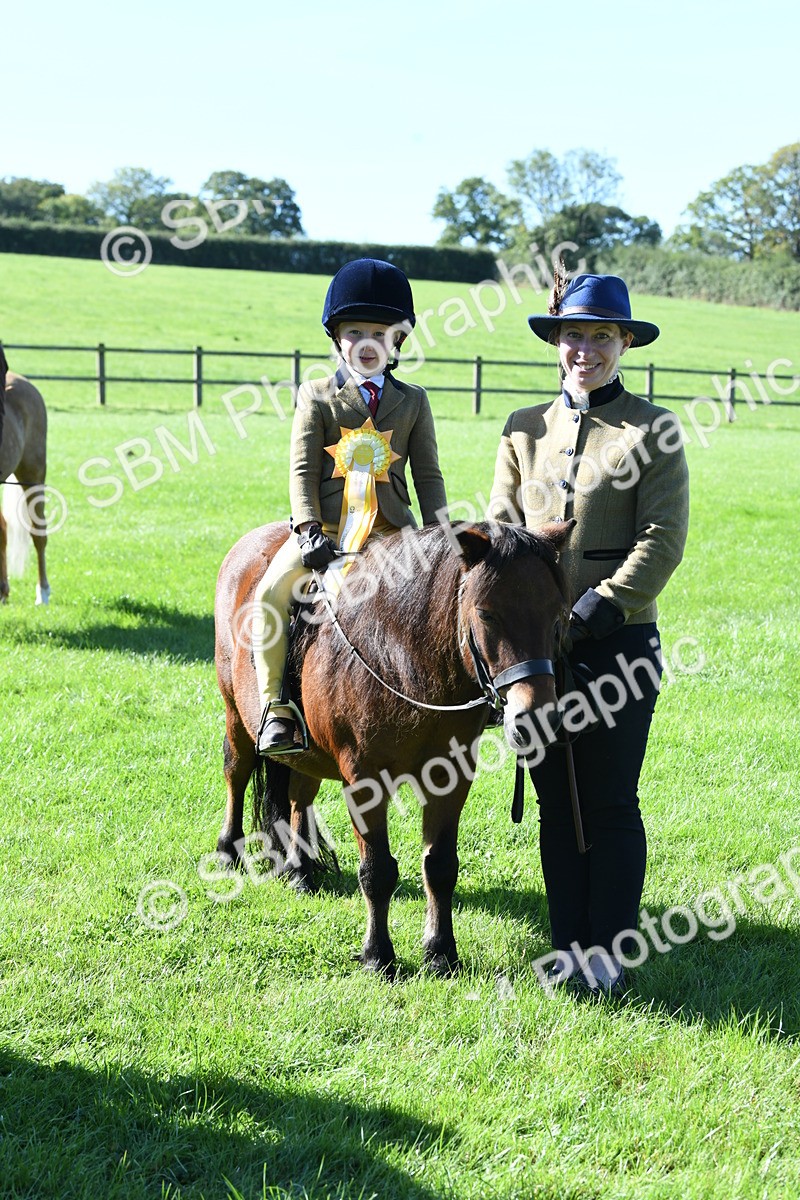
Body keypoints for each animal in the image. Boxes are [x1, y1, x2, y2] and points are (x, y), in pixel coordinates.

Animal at [214, 518, 573, 977]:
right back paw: (228, 852)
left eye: (557, 614)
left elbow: (440, 865)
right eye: (486, 614)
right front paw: (377, 954)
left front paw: (440, 952)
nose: (537, 717)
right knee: (237, 773)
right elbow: (377, 870)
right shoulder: (364, 779)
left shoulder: (451, 776)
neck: (401, 657)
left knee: (299, 796)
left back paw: (300, 872)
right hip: (235, 714)